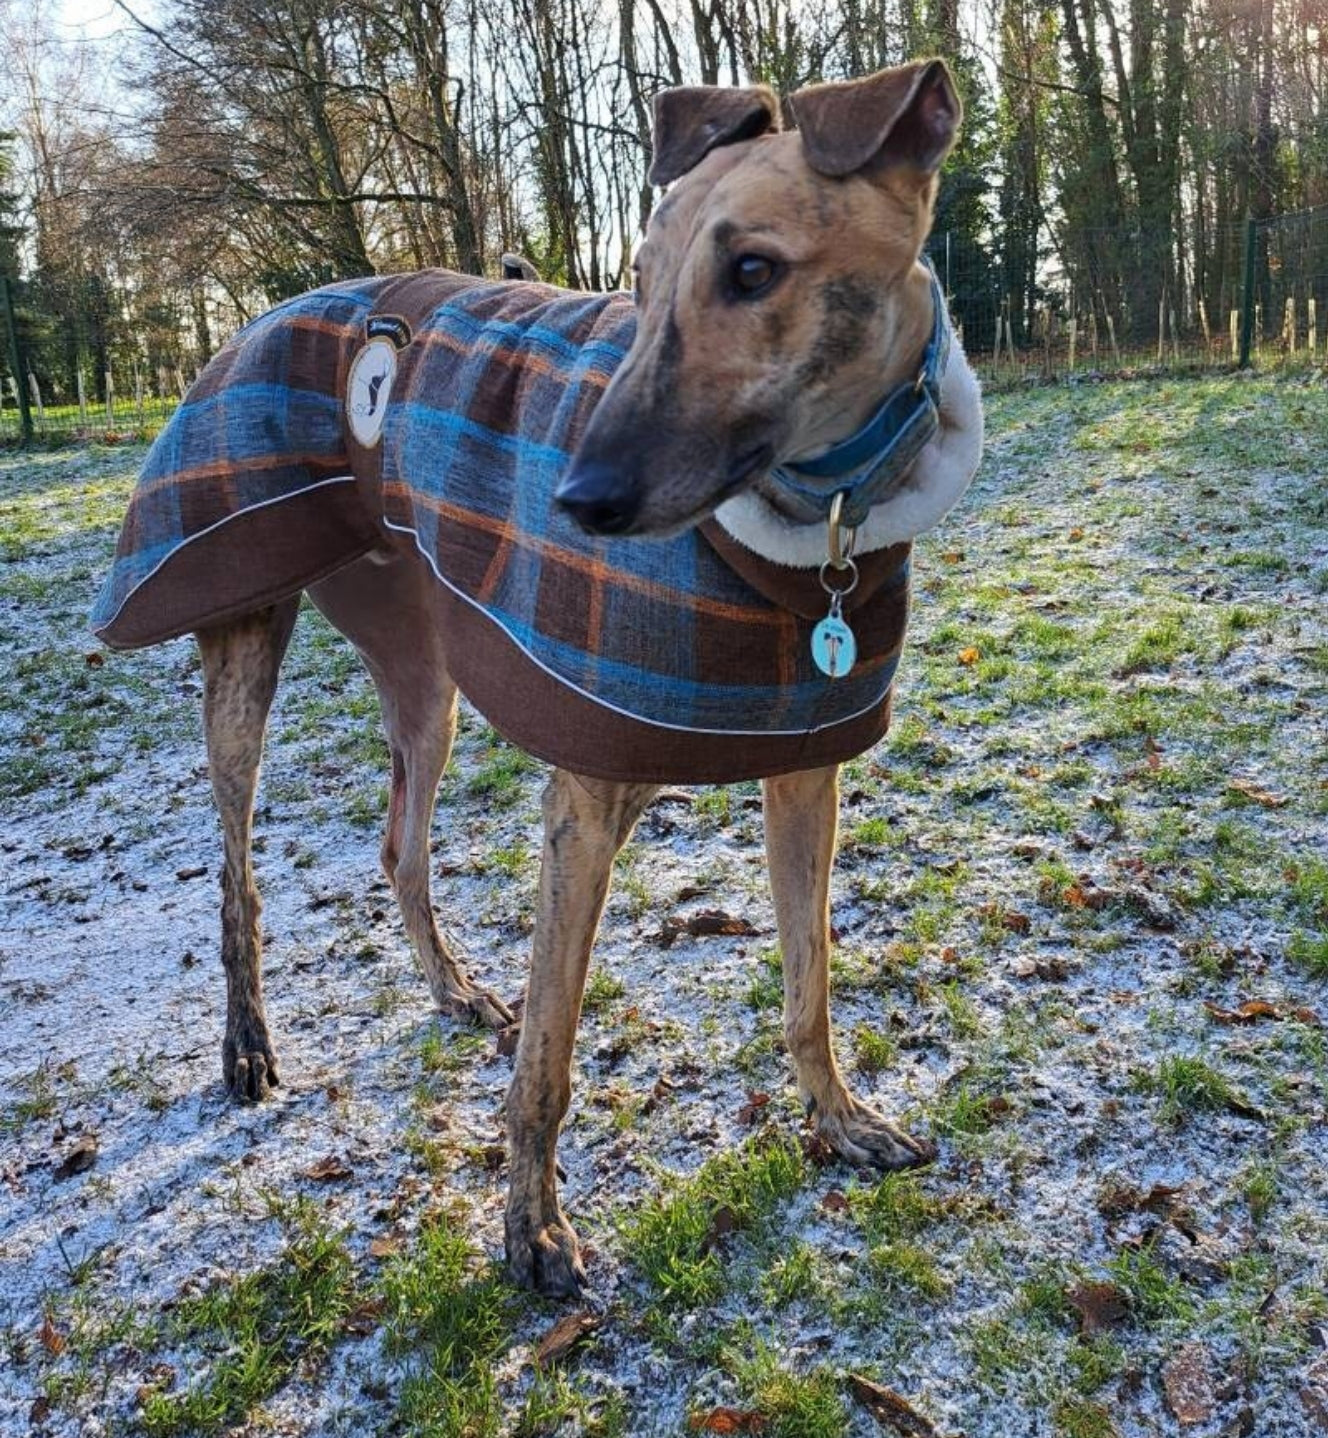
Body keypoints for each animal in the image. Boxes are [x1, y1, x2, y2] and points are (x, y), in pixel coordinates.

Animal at [192, 56, 977, 1299]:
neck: (813, 531)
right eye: (639, 284)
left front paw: (840, 1120)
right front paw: (530, 1231)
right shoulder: (585, 801)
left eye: (752, 271)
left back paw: (452, 987)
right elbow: (547, 1060)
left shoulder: (804, 768)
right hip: (241, 634)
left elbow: (807, 981)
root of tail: (250, 315)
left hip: (421, 670)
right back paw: (248, 1042)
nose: (574, 501)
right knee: (234, 869)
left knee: (398, 841)